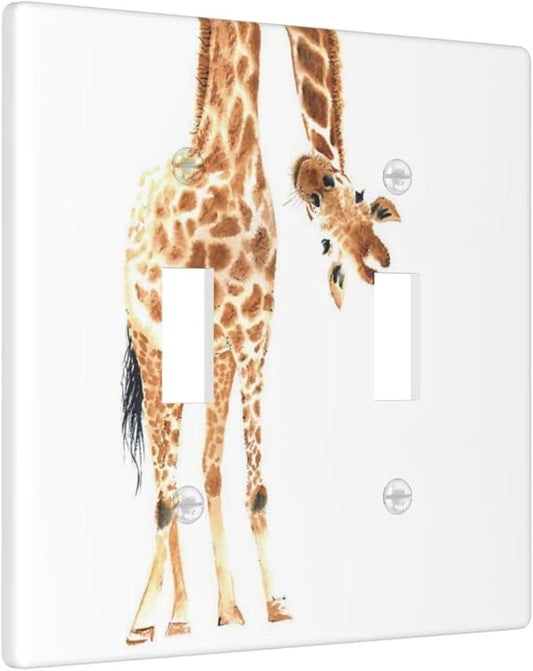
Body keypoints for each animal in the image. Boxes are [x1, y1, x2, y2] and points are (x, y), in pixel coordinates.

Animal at [122, 18, 400, 646]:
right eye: (328, 196)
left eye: (355, 193)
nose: (378, 260)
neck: (228, 162)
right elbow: (167, 494)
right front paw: (155, 620)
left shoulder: (253, 337)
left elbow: (252, 485)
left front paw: (271, 604)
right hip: (151, 349)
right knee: (164, 475)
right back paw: (165, 616)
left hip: (212, 357)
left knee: (201, 468)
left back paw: (215, 610)